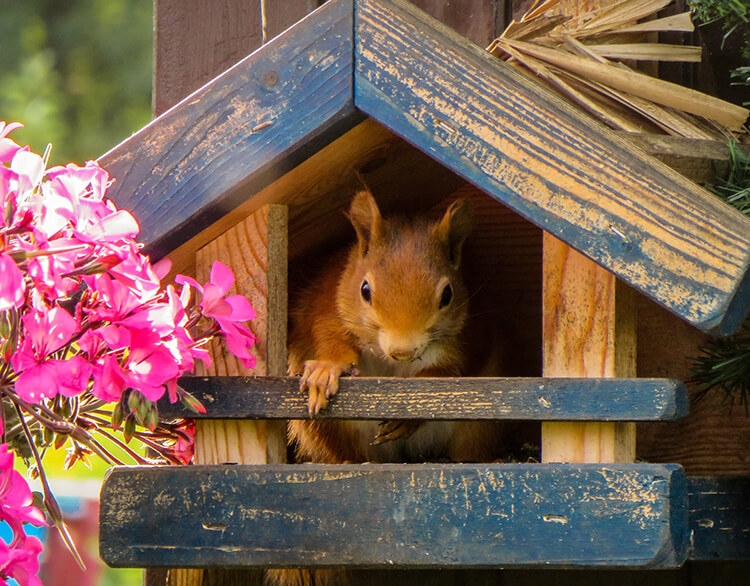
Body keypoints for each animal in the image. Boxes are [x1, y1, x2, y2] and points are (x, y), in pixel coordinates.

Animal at [288, 189, 506, 464]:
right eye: (365, 289)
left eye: (448, 294)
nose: (402, 351)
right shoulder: (328, 303)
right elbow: (327, 335)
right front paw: (326, 370)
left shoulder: (472, 331)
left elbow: (457, 366)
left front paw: (409, 414)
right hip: (331, 430)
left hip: (477, 429)